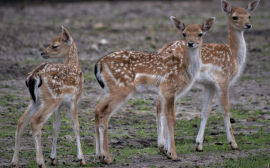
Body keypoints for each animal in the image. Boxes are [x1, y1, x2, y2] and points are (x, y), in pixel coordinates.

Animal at [11, 26, 85, 167]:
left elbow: (57, 127)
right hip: (51, 99)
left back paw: (14, 162)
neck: (74, 66)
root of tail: (33, 76)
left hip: (36, 100)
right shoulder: (74, 99)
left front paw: (53, 158)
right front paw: (81, 159)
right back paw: (40, 162)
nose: (42, 52)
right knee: (35, 121)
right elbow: (76, 125)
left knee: (22, 120)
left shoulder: (60, 104)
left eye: (55, 46)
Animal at [94, 17, 214, 163]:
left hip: (110, 89)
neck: (185, 69)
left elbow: (164, 115)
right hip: (121, 88)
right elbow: (171, 117)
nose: (190, 43)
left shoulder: (164, 93)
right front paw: (174, 155)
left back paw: (100, 156)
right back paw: (107, 157)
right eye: (184, 34)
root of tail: (99, 64)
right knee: (104, 113)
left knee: (97, 110)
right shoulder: (168, 89)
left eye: (200, 34)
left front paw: (167, 152)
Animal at [157, 0, 260, 152]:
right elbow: (226, 108)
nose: (248, 25)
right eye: (235, 17)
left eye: (249, 16)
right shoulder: (223, 79)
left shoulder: (209, 84)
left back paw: (161, 144)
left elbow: (206, 110)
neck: (233, 54)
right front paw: (233, 143)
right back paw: (163, 144)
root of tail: (164, 49)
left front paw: (199, 144)